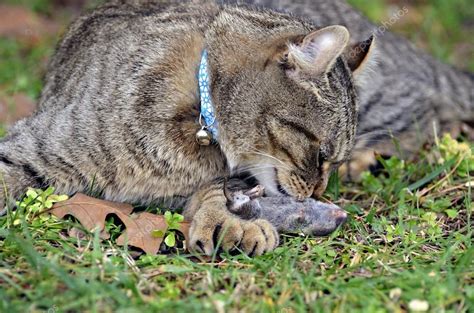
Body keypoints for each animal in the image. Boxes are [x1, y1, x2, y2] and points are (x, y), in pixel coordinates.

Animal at [0, 0, 374, 255]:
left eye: (335, 161)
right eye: (321, 154)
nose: (318, 193)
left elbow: (217, 191)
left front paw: (228, 222)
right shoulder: (28, 147)